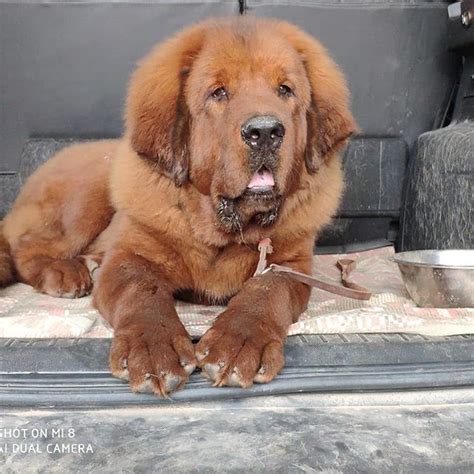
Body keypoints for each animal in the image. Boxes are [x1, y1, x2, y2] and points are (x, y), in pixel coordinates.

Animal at [0, 17, 356, 396]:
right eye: (218, 93)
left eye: (285, 90)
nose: (265, 131)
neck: (223, 231)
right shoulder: (132, 256)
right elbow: (141, 291)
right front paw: (152, 347)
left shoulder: (289, 265)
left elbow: (266, 291)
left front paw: (239, 342)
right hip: (85, 198)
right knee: (27, 245)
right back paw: (64, 274)